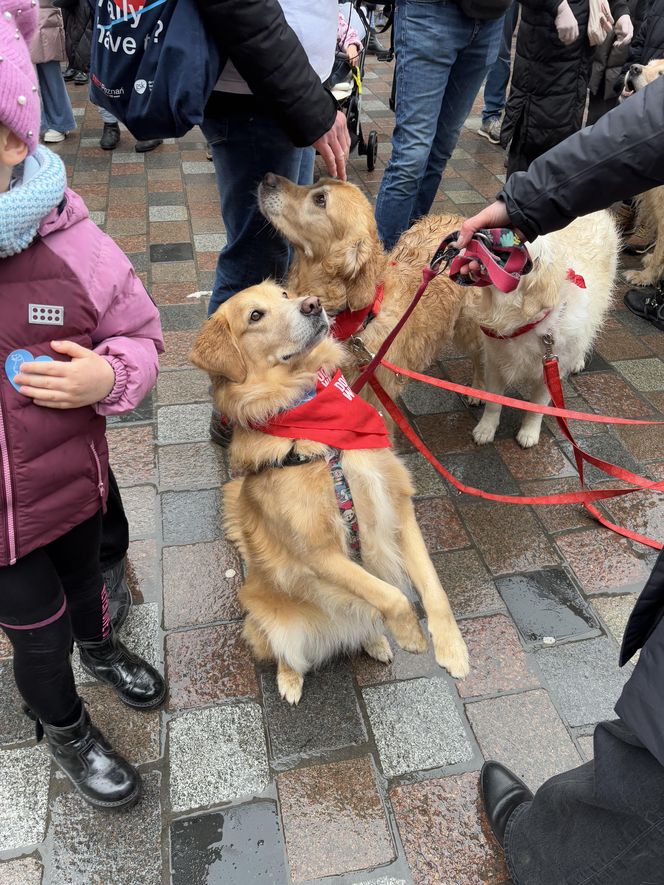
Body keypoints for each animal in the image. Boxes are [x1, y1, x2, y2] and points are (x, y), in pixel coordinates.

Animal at [466, 211, 616, 448]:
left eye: (513, 243)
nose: (479, 233)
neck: (520, 321)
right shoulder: (495, 363)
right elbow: (493, 403)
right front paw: (485, 429)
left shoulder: (550, 368)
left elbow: (537, 407)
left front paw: (529, 433)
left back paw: (578, 360)